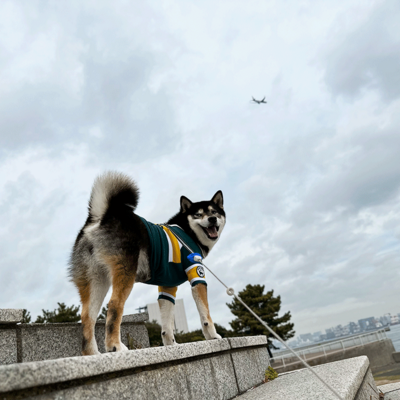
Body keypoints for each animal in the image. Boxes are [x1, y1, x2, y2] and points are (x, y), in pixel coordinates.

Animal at [69, 172, 225, 356]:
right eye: (198, 215)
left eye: (214, 212)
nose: (212, 218)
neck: (188, 232)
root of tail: (102, 216)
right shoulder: (196, 273)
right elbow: (206, 314)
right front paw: (213, 336)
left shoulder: (168, 287)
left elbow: (167, 324)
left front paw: (171, 345)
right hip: (125, 273)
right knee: (114, 305)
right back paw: (115, 346)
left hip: (96, 280)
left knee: (87, 316)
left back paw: (92, 353)